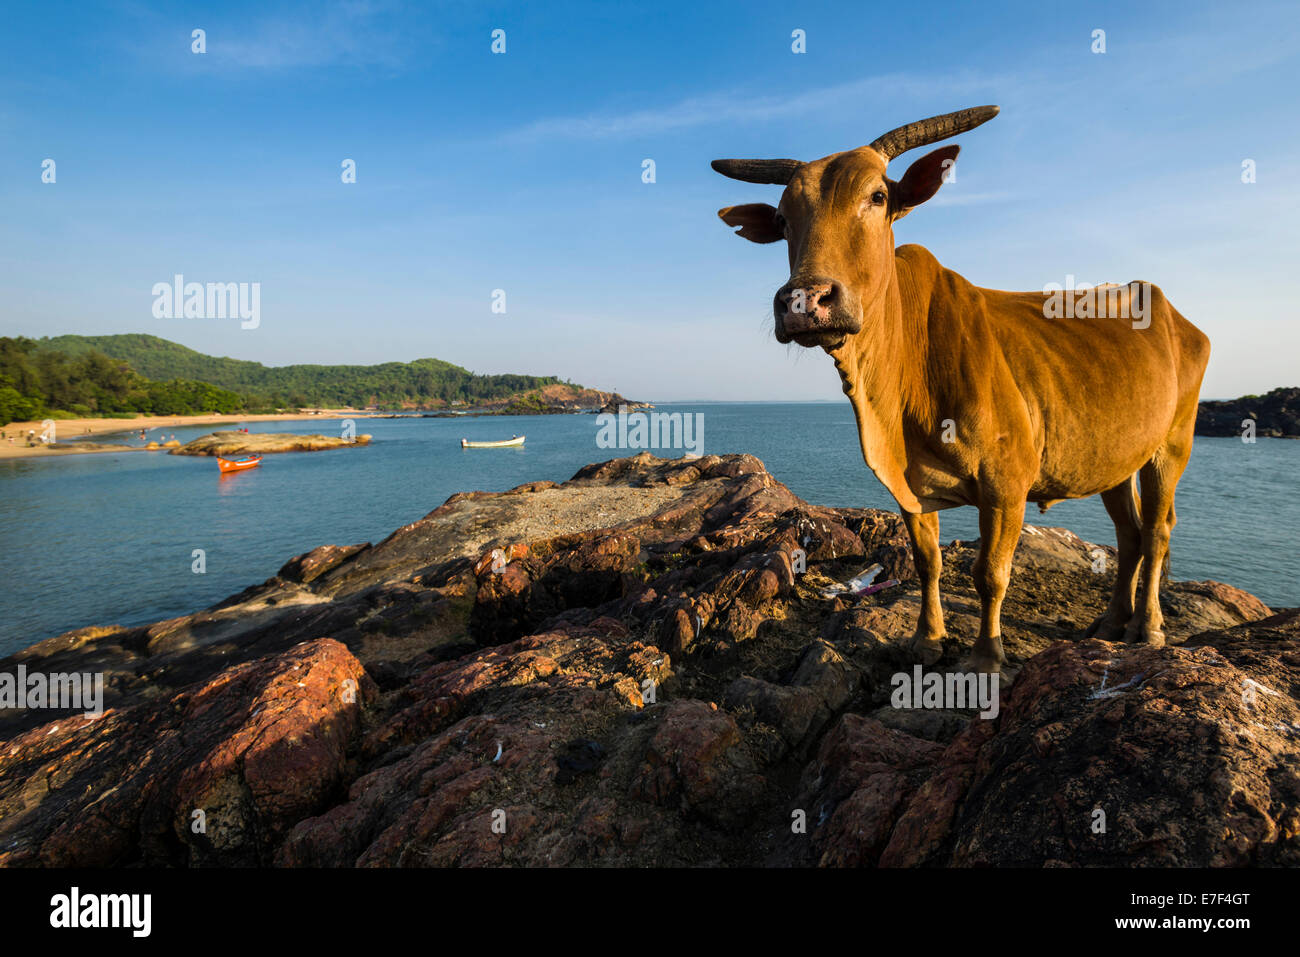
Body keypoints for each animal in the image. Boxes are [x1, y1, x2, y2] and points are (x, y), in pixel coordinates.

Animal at [712, 106, 1206, 670]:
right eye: (781, 219)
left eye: (877, 196)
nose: (804, 300)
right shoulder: (908, 487)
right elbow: (927, 562)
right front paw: (927, 638)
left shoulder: (1007, 483)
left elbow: (990, 574)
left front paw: (986, 657)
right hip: (1114, 457)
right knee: (1129, 534)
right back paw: (1111, 621)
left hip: (1173, 444)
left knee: (1156, 532)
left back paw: (1147, 627)